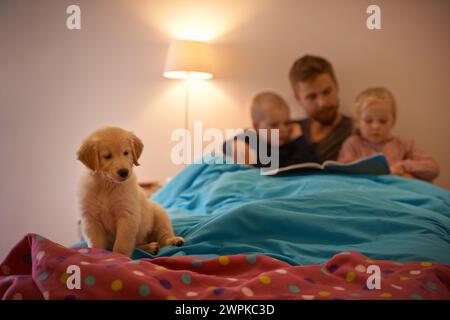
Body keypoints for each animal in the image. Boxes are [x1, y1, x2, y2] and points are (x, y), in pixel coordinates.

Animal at [76, 126, 184, 256]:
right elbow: (96, 243)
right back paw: (150, 247)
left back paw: (173, 240)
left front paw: (119, 257)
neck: (107, 185)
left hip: (160, 215)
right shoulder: (91, 219)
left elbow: (122, 244)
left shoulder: (127, 215)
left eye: (126, 153)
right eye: (107, 156)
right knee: (137, 245)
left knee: (163, 236)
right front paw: (98, 255)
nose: (124, 172)